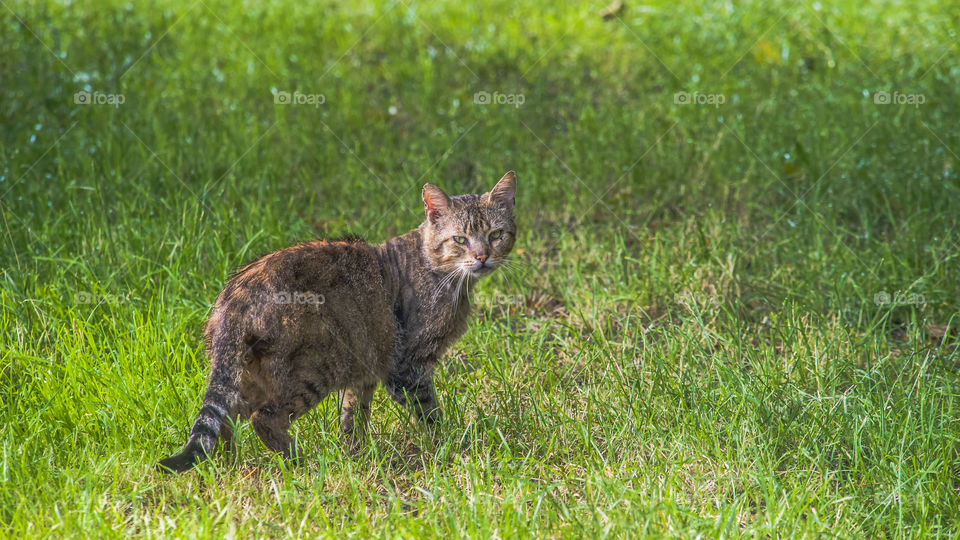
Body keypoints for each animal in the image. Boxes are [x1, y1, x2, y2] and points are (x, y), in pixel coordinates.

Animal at [159, 171, 516, 470]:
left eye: (496, 234)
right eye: (460, 240)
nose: (482, 257)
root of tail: (232, 300)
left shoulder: (368, 367)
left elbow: (353, 416)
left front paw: (357, 454)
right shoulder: (407, 366)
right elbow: (429, 413)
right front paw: (452, 445)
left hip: (250, 377)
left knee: (225, 422)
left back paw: (227, 467)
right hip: (318, 366)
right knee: (263, 418)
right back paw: (301, 461)